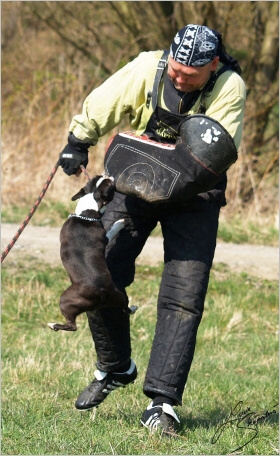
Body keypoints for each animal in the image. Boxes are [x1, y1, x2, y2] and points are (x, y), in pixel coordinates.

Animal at [47, 175, 137, 332]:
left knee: (72, 326)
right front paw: (119, 223)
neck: (85, 214)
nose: (108, 174)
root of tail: (101, 292)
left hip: (65, 300)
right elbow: (111, 231)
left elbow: (112, 230)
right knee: (125, 309)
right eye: (98, 178)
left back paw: (53, 325)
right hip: (118, 295)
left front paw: (119, 223)